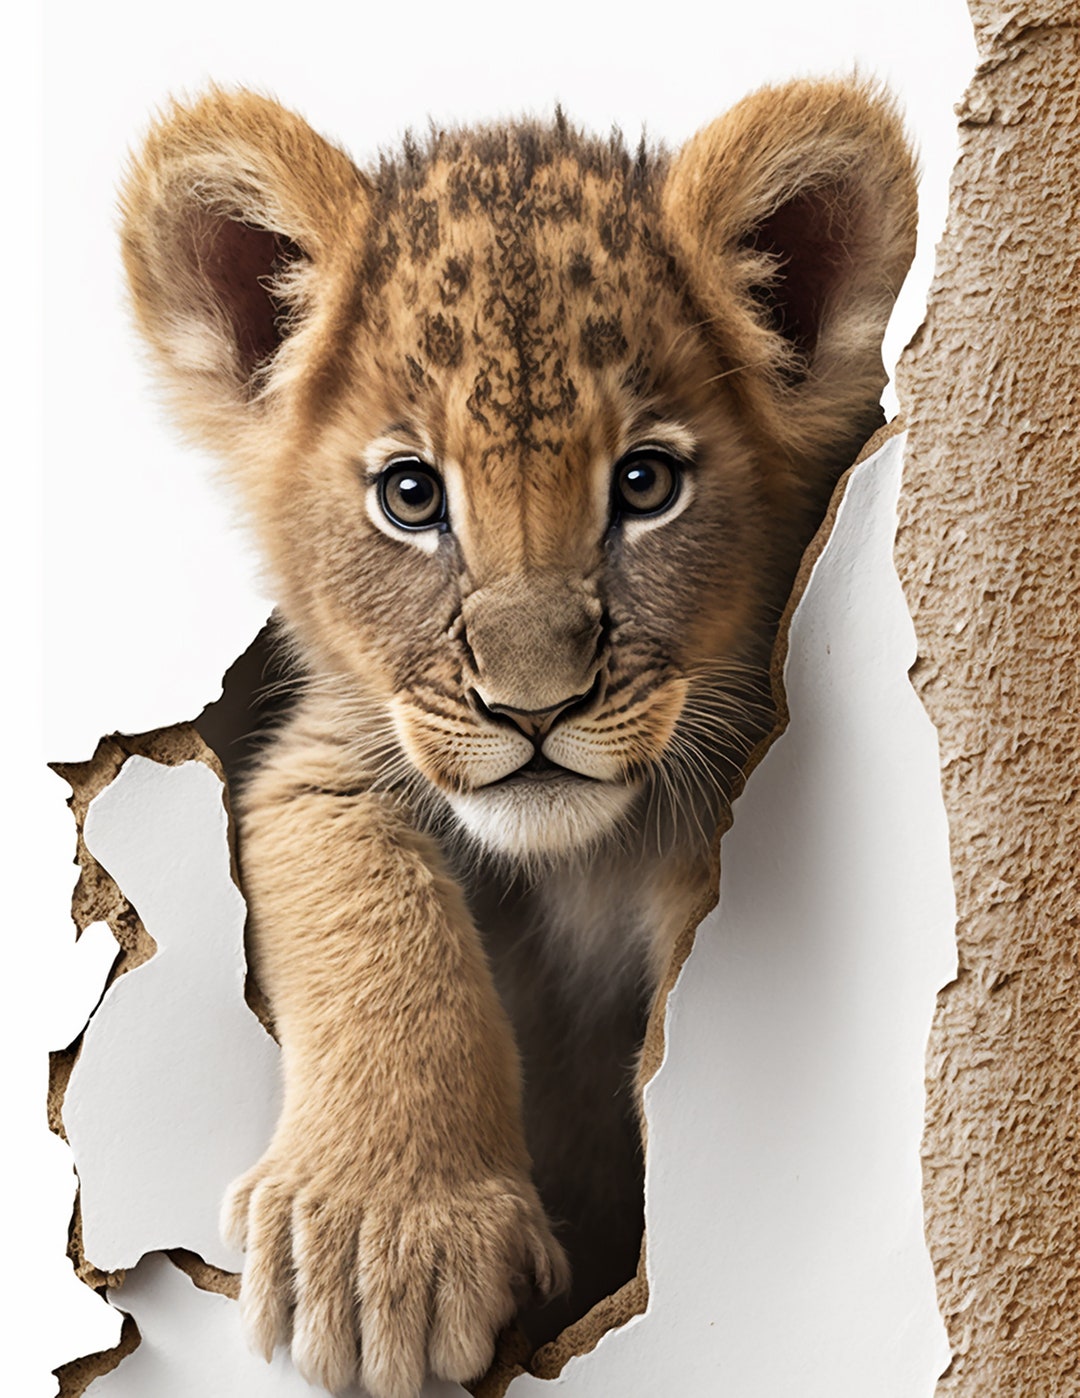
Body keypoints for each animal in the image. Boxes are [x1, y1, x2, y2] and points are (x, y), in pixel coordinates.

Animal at [119, 79, 916, 1398]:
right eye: (410, 496)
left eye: (645, 485)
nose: (534, 709)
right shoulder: (328, 754)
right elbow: (371, 912)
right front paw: (378, 1239)